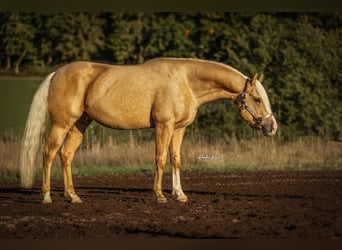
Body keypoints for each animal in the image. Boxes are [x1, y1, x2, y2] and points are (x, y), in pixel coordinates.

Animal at [19, 58, 278, 203]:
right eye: (256, 98)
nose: (271, 127)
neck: (185, 82)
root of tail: (56, 73)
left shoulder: (179, 129)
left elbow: (175, 160)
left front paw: (179, 195)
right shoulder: (164, 126)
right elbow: (160, 159)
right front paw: (161, 196)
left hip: (80, 125)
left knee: (66, 155)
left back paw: (72, 196)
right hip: (62, 124)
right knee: (49, 154)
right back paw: (46, 196)